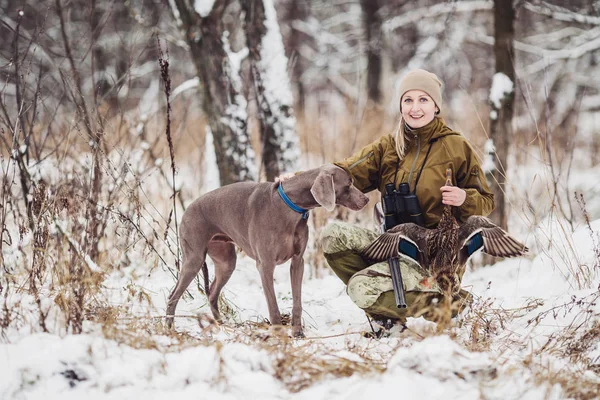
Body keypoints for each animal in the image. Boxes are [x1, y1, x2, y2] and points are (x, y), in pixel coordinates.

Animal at [165, 164, 370, 336]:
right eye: (349, 184)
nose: (367, 199)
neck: (290, 207)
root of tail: (187, 209)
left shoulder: (298, 261)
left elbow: (297, 302)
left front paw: (297, 333)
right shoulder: (265, 265)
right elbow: (273, 306)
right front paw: (279, 336)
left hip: (226, 261)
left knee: (213, 292)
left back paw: (221, 325)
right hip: (194, 258)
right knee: (173, 296)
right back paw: (170, 329)